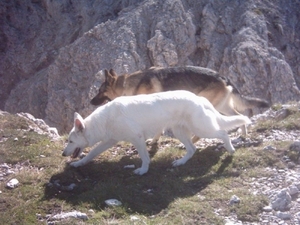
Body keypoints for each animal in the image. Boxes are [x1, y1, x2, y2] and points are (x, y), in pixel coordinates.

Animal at [61, 90, 251, 175]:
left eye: (70, 141)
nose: (63, 154)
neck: (103, 120)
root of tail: (199, 98)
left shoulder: (137, 139)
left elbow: (145, 157)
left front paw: (143, 170)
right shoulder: (109, 141)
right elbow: (90, 154)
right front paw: (79, 164)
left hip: (202, 129)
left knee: (223, 133)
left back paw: (231, 150)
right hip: (180, 132)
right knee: (192, 149)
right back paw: (181, 162)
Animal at [89, 65, 270, 139]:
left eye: (99, 91)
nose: (90, 102)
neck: (128, 85)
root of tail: (224, 76)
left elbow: (157, 129)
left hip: (211, 105)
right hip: (223, 106)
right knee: (239, 115)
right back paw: (243, 134)